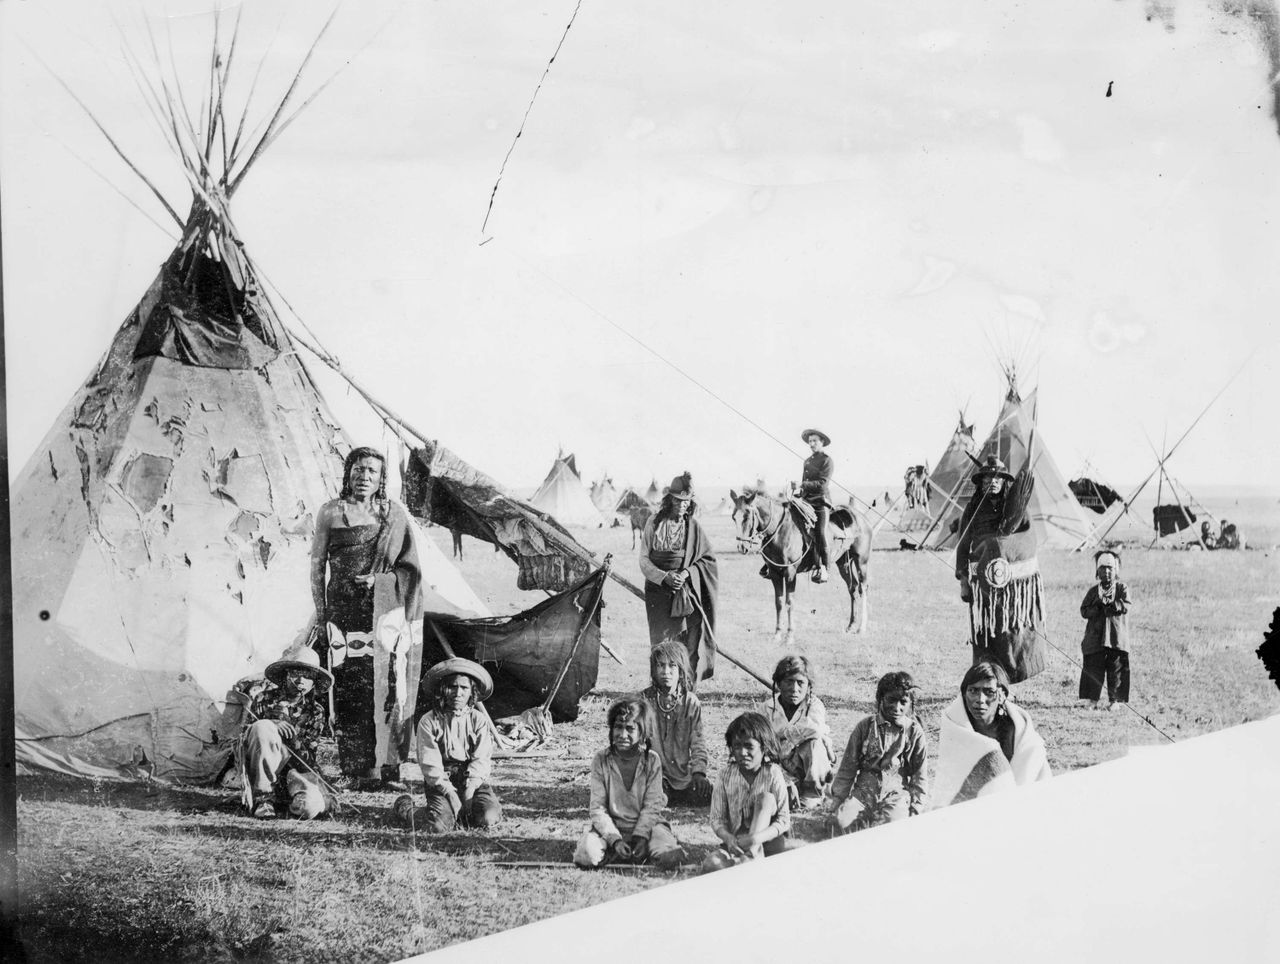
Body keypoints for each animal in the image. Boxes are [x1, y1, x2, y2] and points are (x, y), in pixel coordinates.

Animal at [735, 492, 872, 643]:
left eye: (747, 515)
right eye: (734, 516)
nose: (741, 547)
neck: (779, 530)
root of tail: (860, 517)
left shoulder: (790, 572)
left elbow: (790, 602)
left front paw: (789, 636)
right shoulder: (775, 573)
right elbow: (779, 603)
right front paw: (777, 634)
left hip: (861, 561)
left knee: (863, 587)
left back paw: (861, 628)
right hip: (843, 562)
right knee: (852, 587)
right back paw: (851, 625)